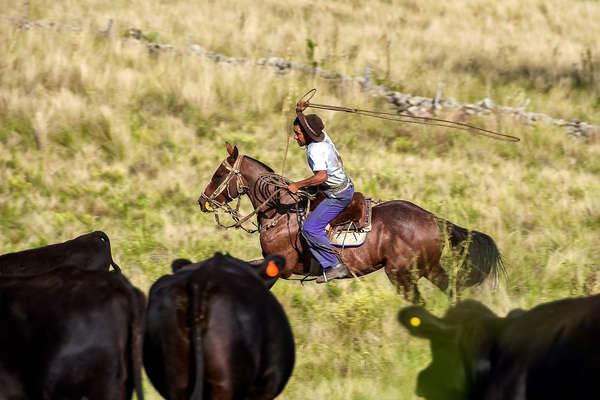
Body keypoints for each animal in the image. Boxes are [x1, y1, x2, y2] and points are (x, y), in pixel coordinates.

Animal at [199, 144, 504, 304]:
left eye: (219, 174)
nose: (202, 201)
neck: (279, 212)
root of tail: (434, 220)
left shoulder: (279, 266)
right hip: (429, 269)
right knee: (452, 292)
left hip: (401, 275)